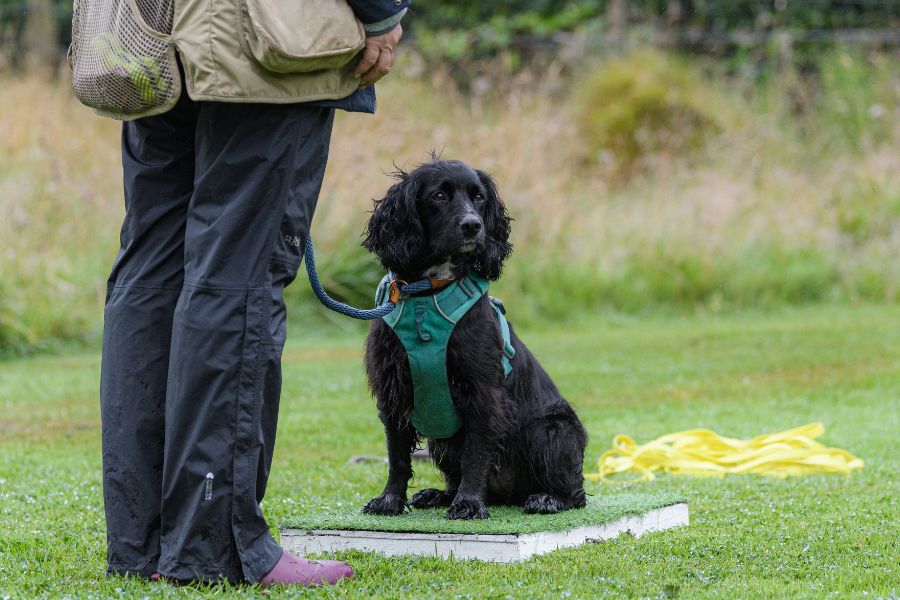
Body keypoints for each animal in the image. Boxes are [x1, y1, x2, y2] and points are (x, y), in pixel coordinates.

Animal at [362, 159, 588, 520]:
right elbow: (397, 455)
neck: (428, 293)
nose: (473, 226)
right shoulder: (392, 387)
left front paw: (468, 503)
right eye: (439, 195)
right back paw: (438, 494)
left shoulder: (482, 391)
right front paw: (389, 500)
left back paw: (548, 498)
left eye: (479, 197)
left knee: (577, 494)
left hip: (550, 429)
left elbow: (477, 452)